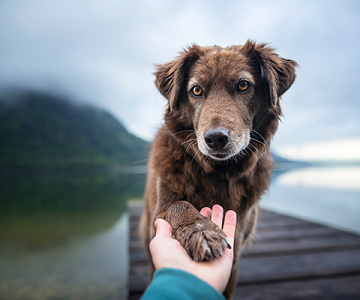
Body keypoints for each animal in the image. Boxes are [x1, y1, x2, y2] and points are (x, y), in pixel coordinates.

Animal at [139, 40, 296, 300]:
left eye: (243, 85)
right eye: (196, 90)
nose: (215, 139)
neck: (218, 173)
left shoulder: (236, 249)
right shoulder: (161, 210)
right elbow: (179, 205)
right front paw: (200, 230)